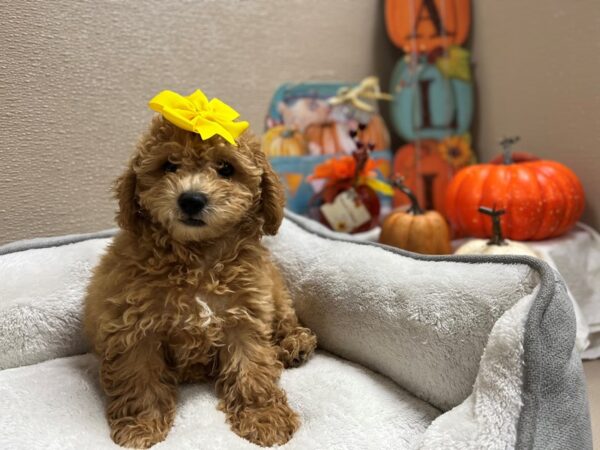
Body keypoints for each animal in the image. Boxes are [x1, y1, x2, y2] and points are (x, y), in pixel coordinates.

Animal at [85, 114, 318, 448]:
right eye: (169, 166)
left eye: (226, 169)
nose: (191, 200)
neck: (197, 258)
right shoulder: (133, 327)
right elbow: (139, 377)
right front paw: (140, 426)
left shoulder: (245, 316)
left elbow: (253, 368)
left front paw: (264, 418)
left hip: (275, 291)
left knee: (287, 319)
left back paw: (295, 344)